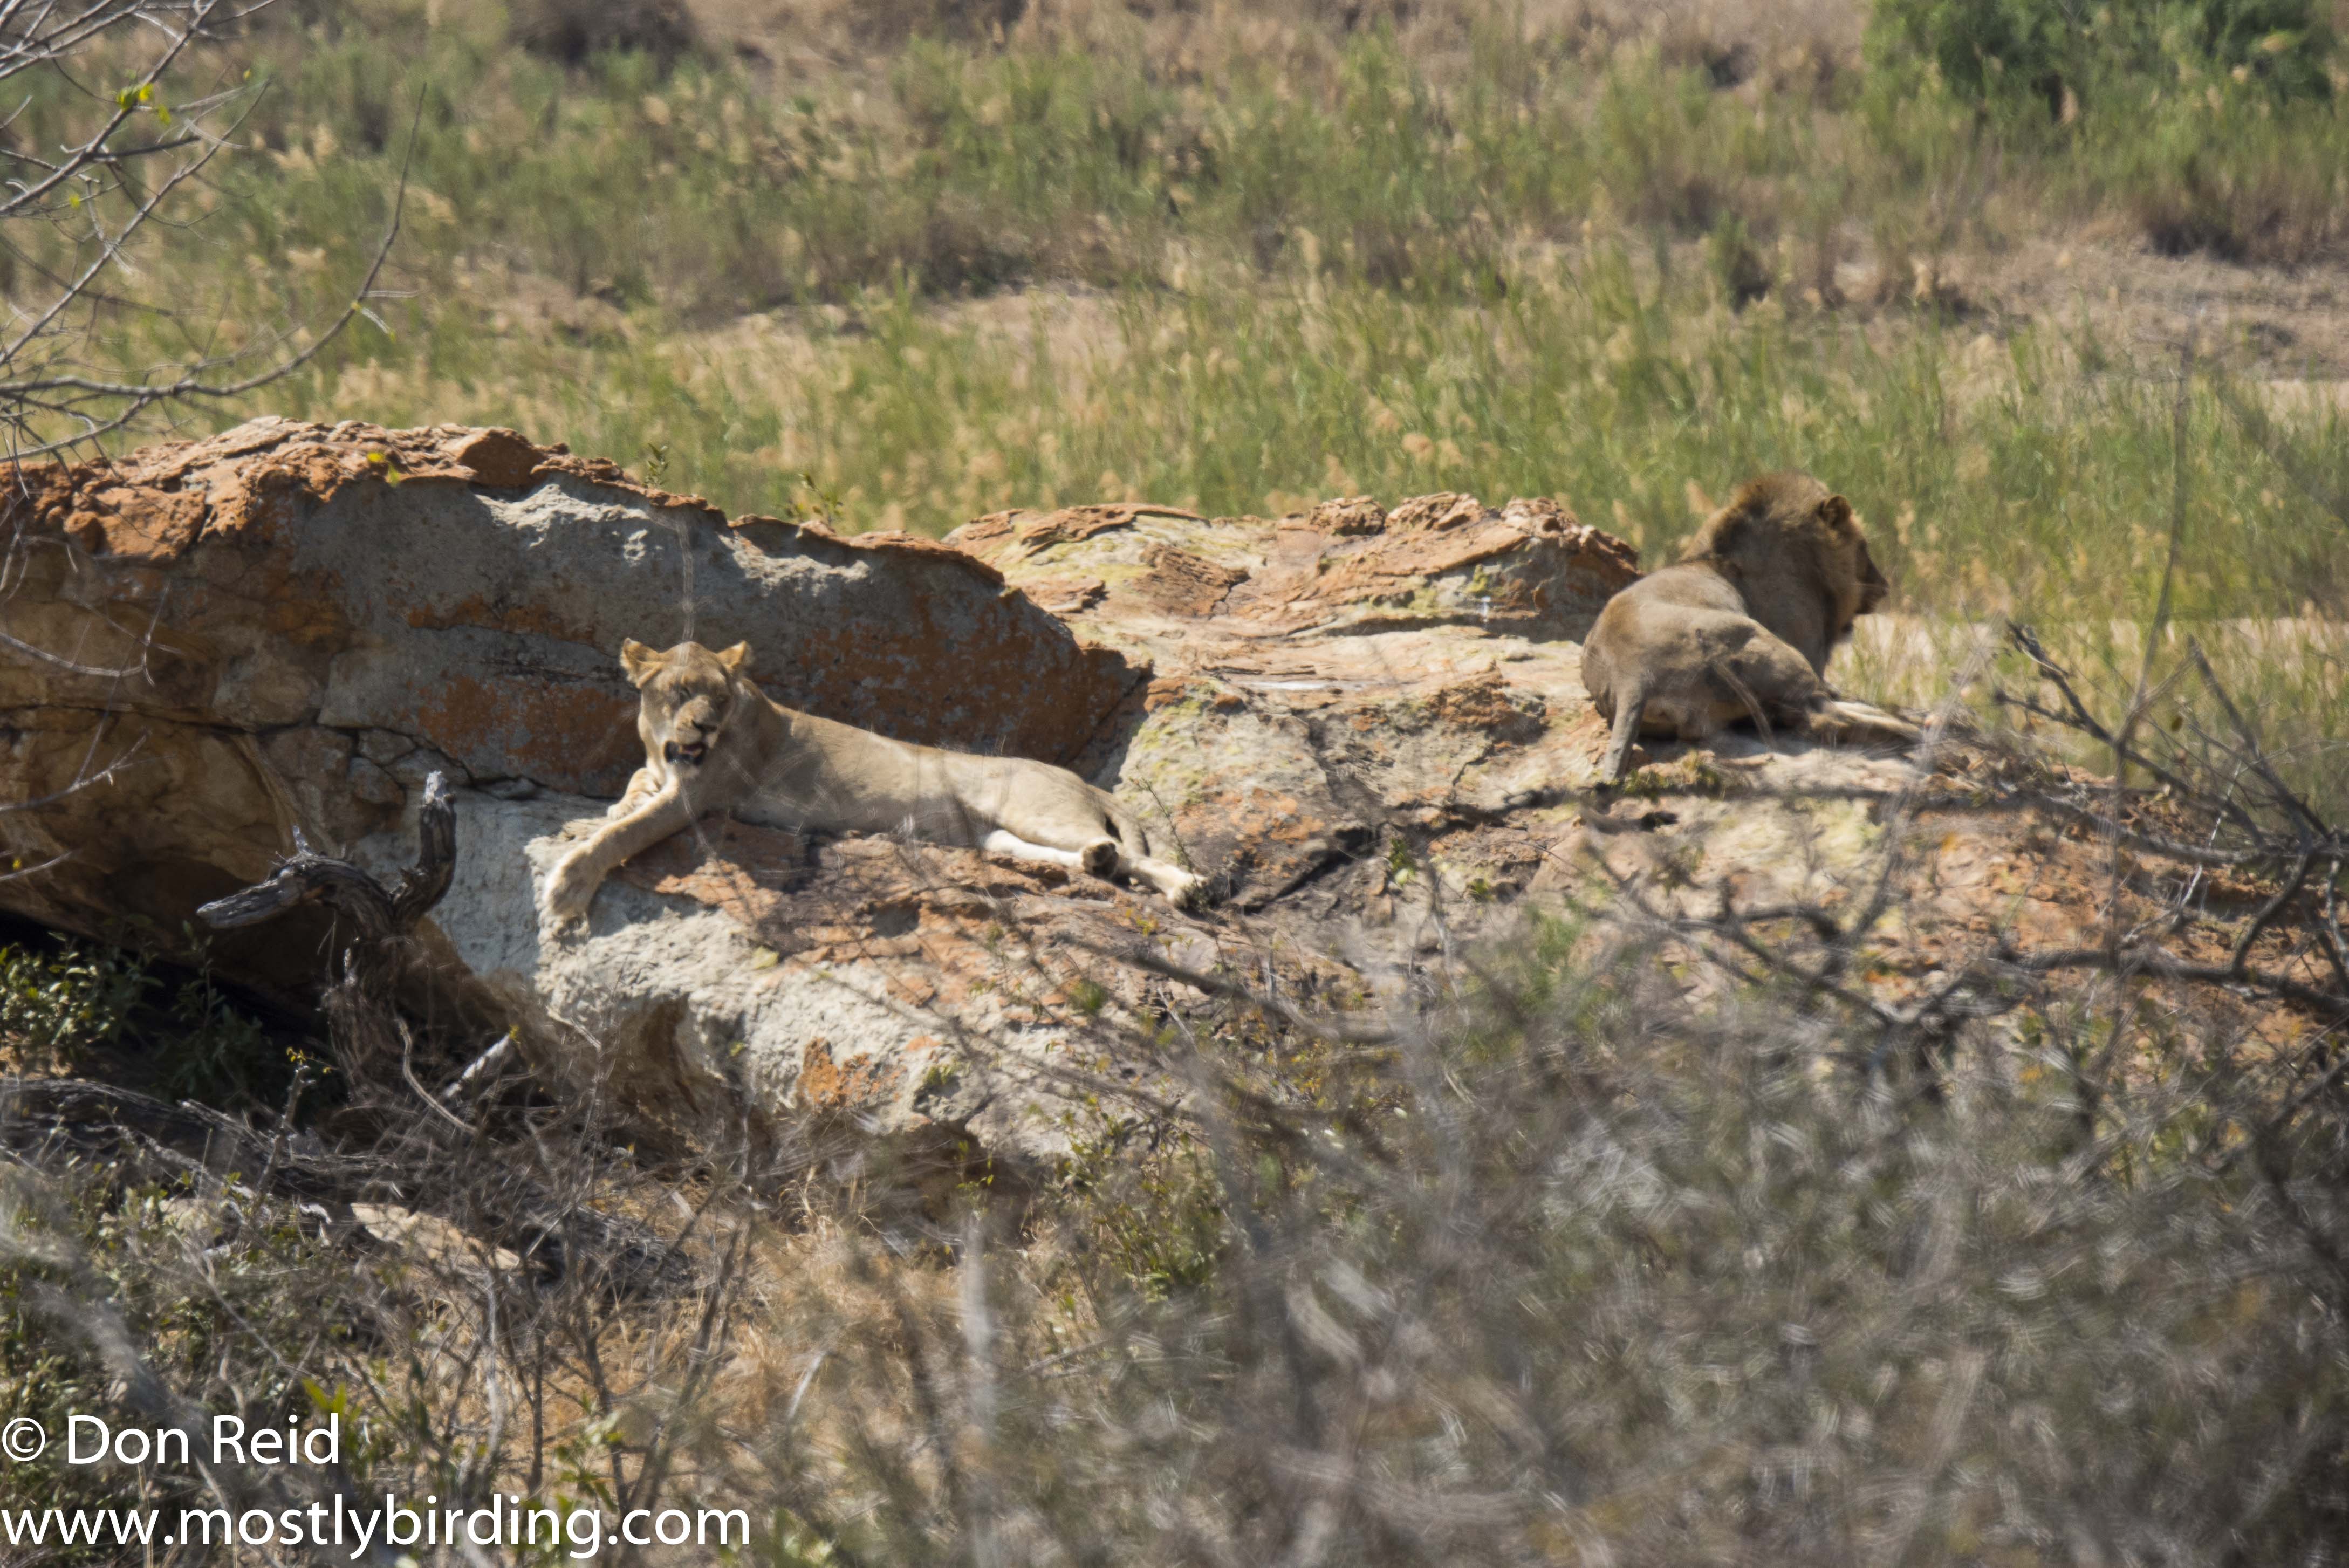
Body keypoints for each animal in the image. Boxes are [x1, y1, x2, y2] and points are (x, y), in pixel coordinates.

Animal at [540, 638, 1206, 923]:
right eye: (680, 692)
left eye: (720, 697)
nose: (704, 724)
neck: (666, 747)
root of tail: (1079, 777)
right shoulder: (665, 772)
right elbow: (630, 792)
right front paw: (612, 806)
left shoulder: (700, 796)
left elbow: (623, 836)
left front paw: (567, 889)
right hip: (992, 836)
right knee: (1090, 854)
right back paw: (1095, 862)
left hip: (1036, 809)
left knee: (1132, 856)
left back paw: (1187, 889)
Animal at [1579, 472, 1921, 785]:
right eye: (1863, 547)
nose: (1884, 585)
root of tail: (1632, 678)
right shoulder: (1811, 654)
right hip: (1770, 648)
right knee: (1824, 719)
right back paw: (1911, 733)